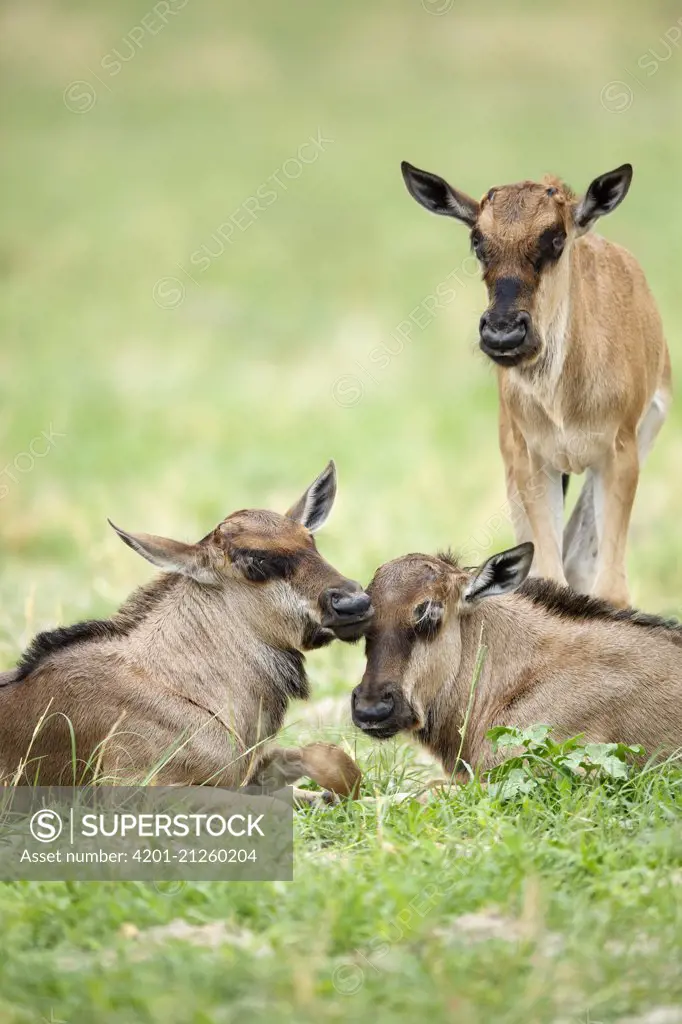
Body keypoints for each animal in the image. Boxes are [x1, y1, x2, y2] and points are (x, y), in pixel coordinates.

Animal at [401, 159, 667, 606]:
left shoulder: (620, 452)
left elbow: (610, 589)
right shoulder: (530, 458)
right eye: (477, 240)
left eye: (556, 238)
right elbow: (548, 578)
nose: (504, 334)